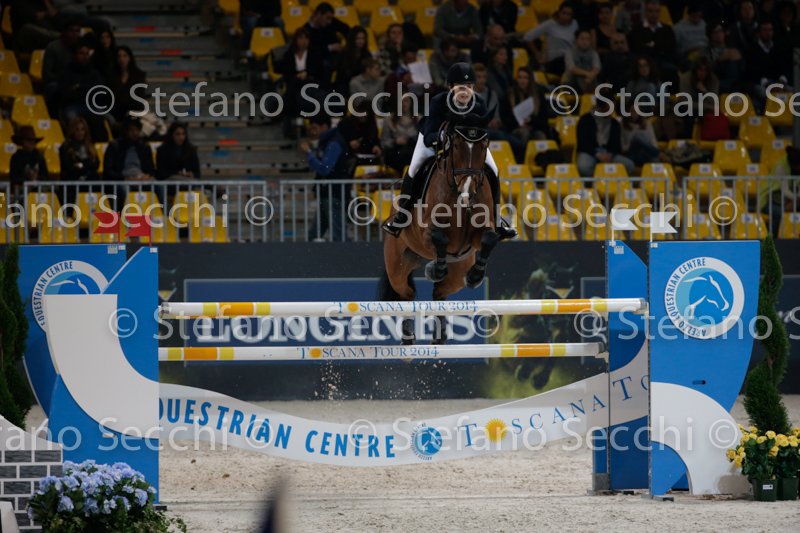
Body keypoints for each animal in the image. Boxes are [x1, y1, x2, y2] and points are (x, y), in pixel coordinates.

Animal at [379, 109, 501, 345]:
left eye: (484, 145)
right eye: (456, 146)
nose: (467, 191)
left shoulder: (479, 233)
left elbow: (489, 239)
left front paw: (475, 276)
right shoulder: (427, 232)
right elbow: (440, 238)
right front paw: (434, 269)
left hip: (457, 272)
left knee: (439, 293)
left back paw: (439, 334)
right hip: (397, 265)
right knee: (406, 294)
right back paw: (408, 336)